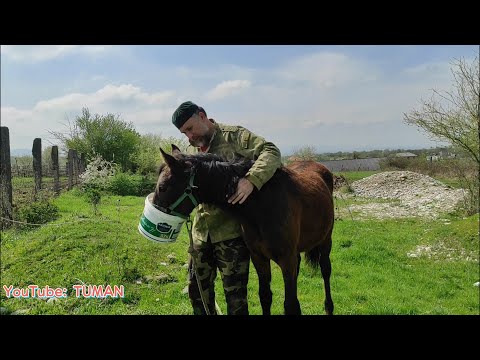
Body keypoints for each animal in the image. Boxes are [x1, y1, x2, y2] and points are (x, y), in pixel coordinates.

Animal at [154, 145, 334, 314]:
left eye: (162, 187)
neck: (262, 205)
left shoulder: (286, 260)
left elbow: (291, 305)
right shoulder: (259, 258)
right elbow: (265, 297)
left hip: (326, 242)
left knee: (326, 271)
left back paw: (329, 307)